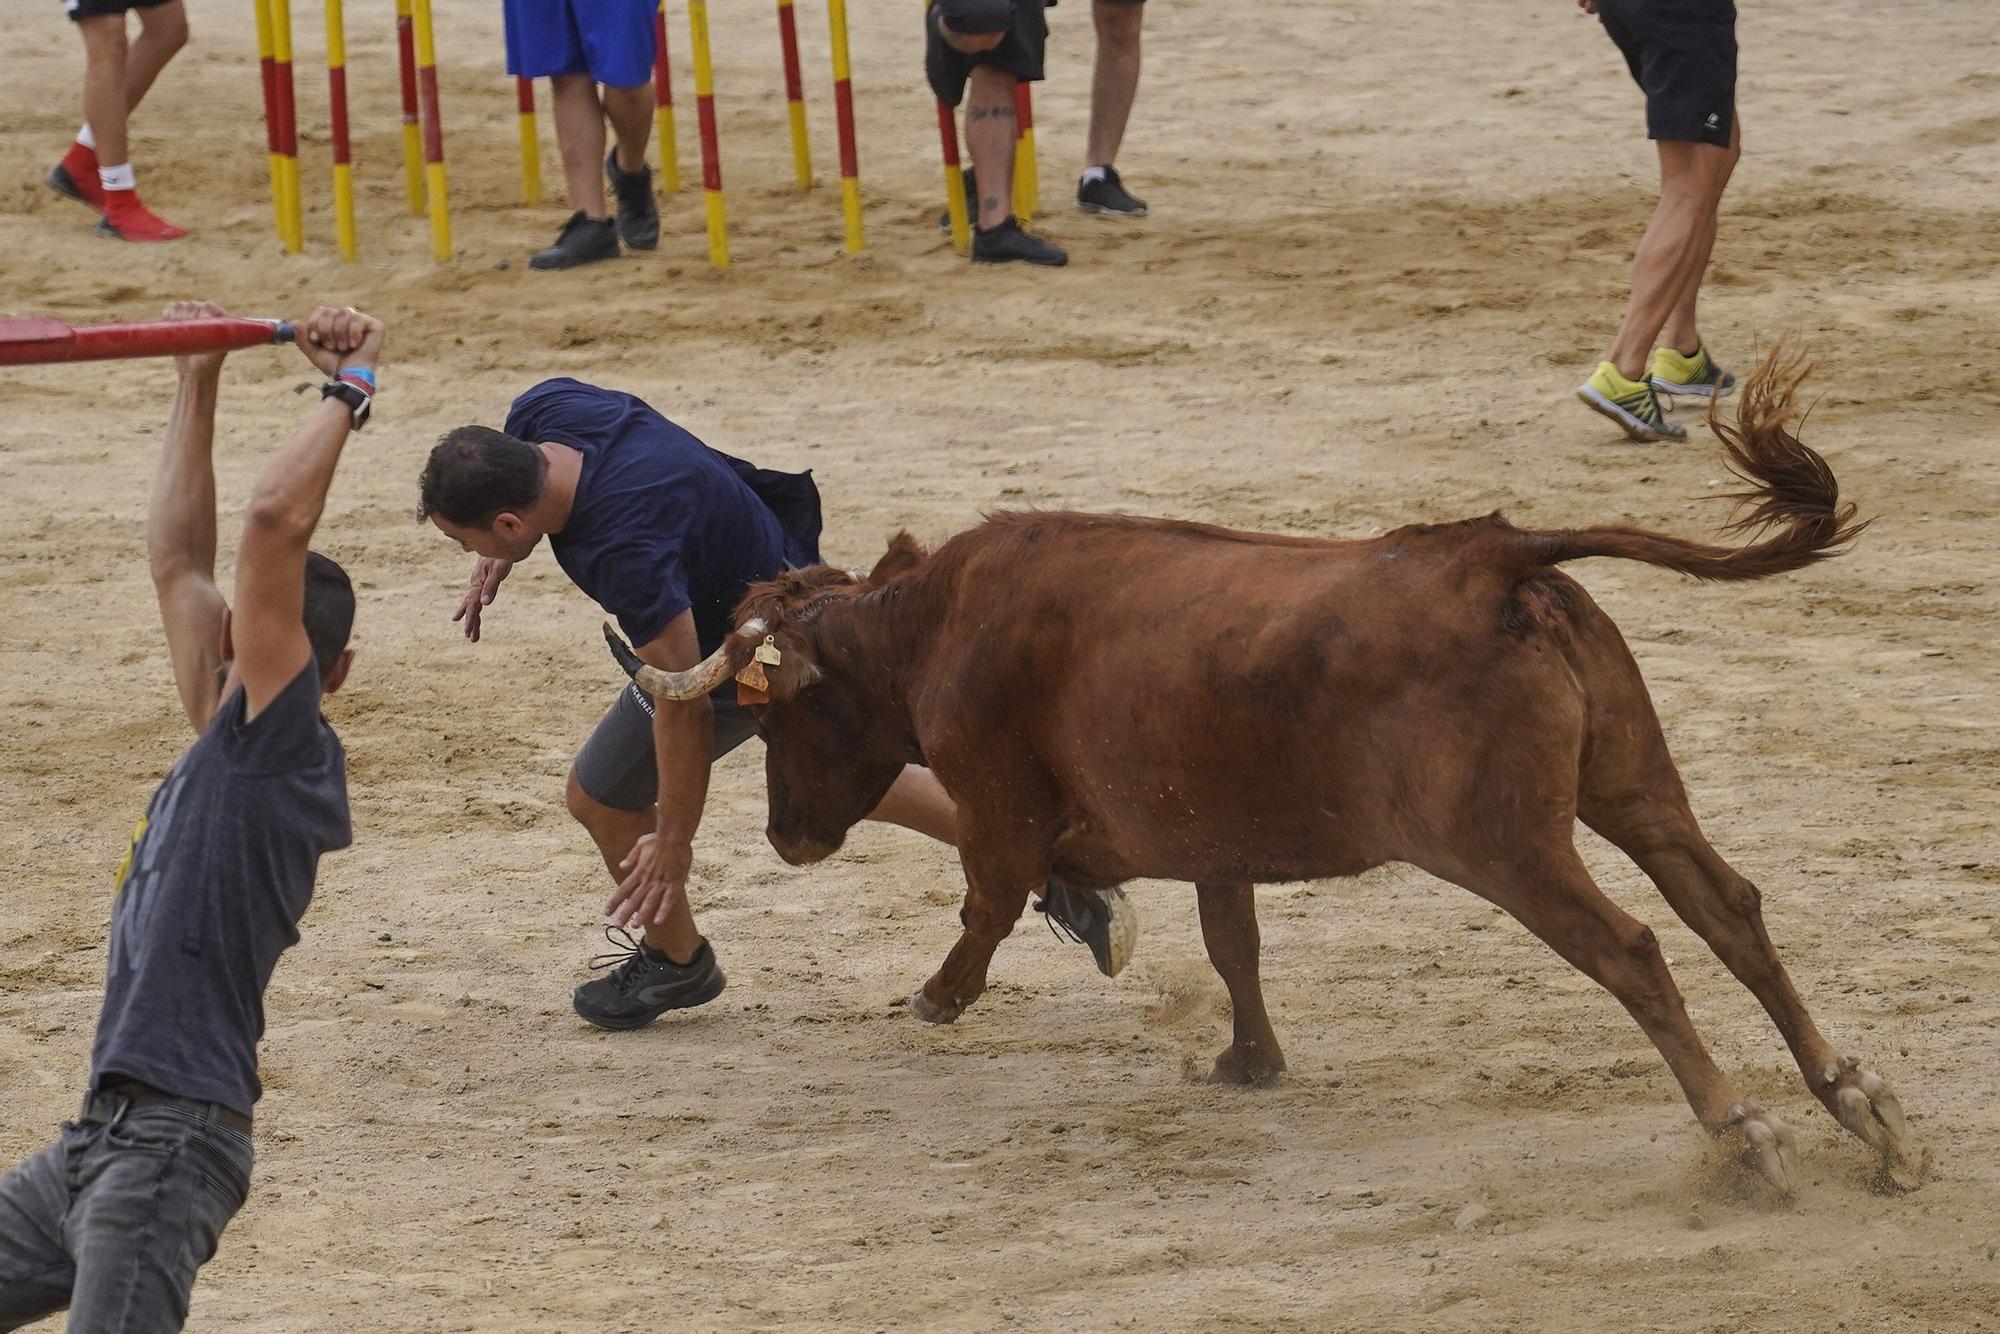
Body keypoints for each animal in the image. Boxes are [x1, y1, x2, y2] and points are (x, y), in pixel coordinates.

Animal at [604, 352, 1920, 1192]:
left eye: (773, 717)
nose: (785, 836)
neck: (935, 625)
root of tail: (1487, 556)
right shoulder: (1208, 839)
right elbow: (1229, 937)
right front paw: (1248, 1061)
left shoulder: (998, 810)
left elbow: (986, 904)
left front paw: (936, 997)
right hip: (1631, 786)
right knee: (1726, 907)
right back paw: (1859, 1107)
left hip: (1508, 844)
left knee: (1634, 949)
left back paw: (1740, 1135)